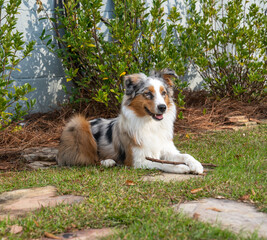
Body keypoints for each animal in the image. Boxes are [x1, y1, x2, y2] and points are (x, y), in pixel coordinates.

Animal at [56, 69, 203, 174]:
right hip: (78, 124)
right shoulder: (137, 160)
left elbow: (186, 155)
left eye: (164, 93)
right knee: (88, 159)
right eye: (147, 94)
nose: (163, 107)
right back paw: (107, 162)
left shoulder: (166, 150)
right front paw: (181, 167)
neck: (150, 124)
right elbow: (161, 163)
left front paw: (196, 165)